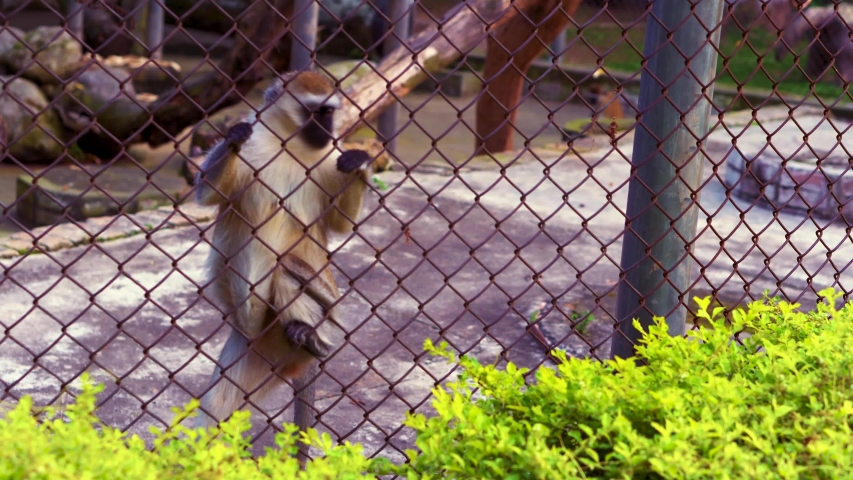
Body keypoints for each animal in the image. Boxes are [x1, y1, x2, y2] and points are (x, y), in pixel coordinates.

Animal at [192, 71, 374, 454]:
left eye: (330, 112)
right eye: (315, 112)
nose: (327, 129)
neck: (289, 145)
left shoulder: (327, 157)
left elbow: (340, 225)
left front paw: (360, 164)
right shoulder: (259, 140)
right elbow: (208, 193)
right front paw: (233, 139)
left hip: (326, 316)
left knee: (288, 269)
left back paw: (310, 338)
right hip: (251, 351)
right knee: (215, 411)